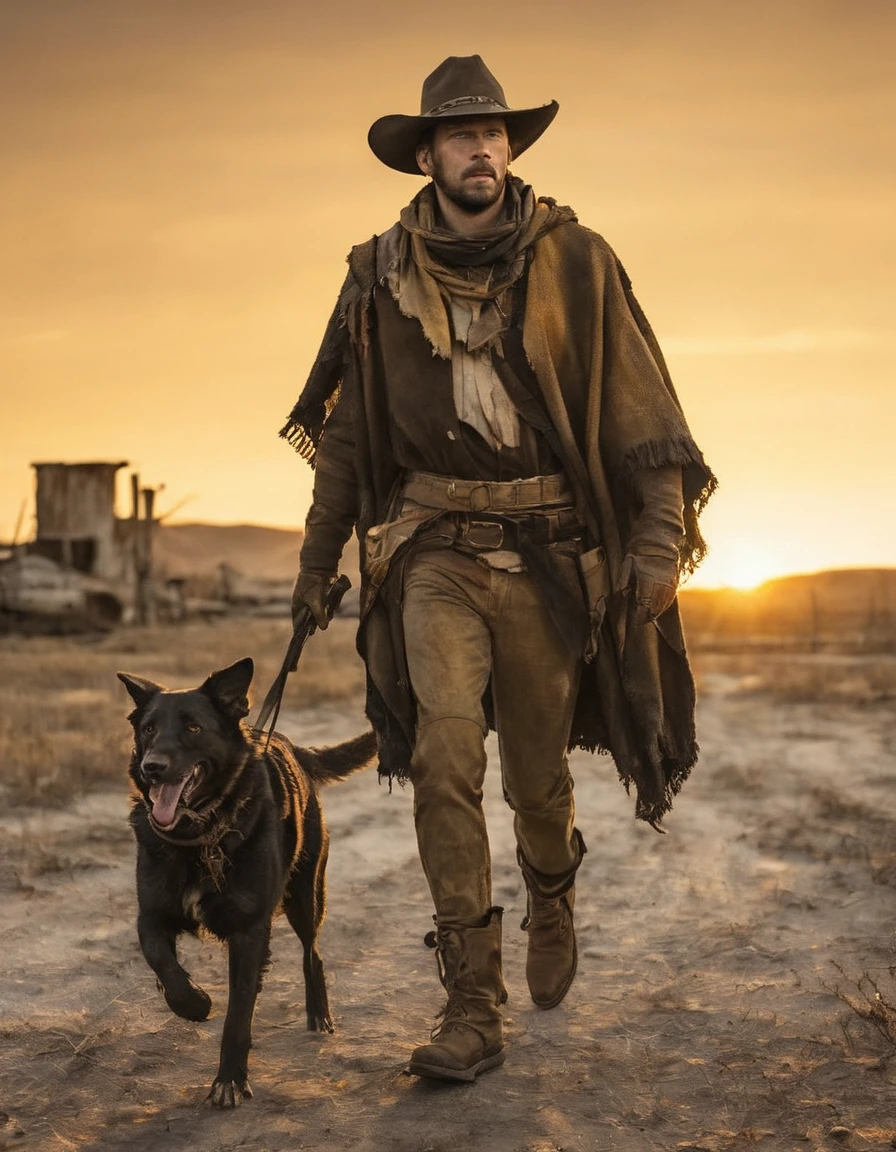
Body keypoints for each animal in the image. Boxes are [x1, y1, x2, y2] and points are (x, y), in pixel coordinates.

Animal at [116, 658, 375, 1105]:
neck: (199, 836)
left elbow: (238, 1013)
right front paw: (194, 1003)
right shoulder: (151, 915)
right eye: (148, 728)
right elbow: (163, 963)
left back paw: (319, 1014)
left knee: (313, 954)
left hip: (306, 897)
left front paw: (229, 1079)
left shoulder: (250, 931)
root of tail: (293, 748)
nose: (152, 768)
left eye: (193, 728)